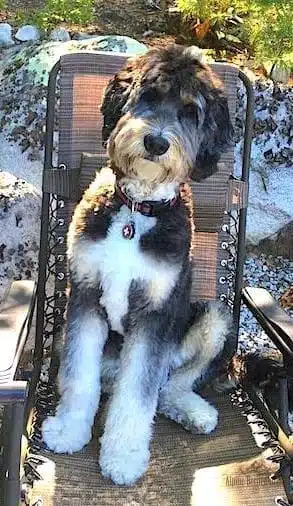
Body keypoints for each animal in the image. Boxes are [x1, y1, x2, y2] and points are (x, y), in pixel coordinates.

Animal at [41, 45, 233, 484]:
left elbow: (137, 396)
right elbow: (79, 377)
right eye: (149, 94)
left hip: (212, 317)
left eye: (190, 112)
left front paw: (123, 457)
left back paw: (191, 410)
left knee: (168, 386)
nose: (156, 142)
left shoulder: (155, 315)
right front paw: (69, 430)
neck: (137, 208)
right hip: (62, 335)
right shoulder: (85, 296)